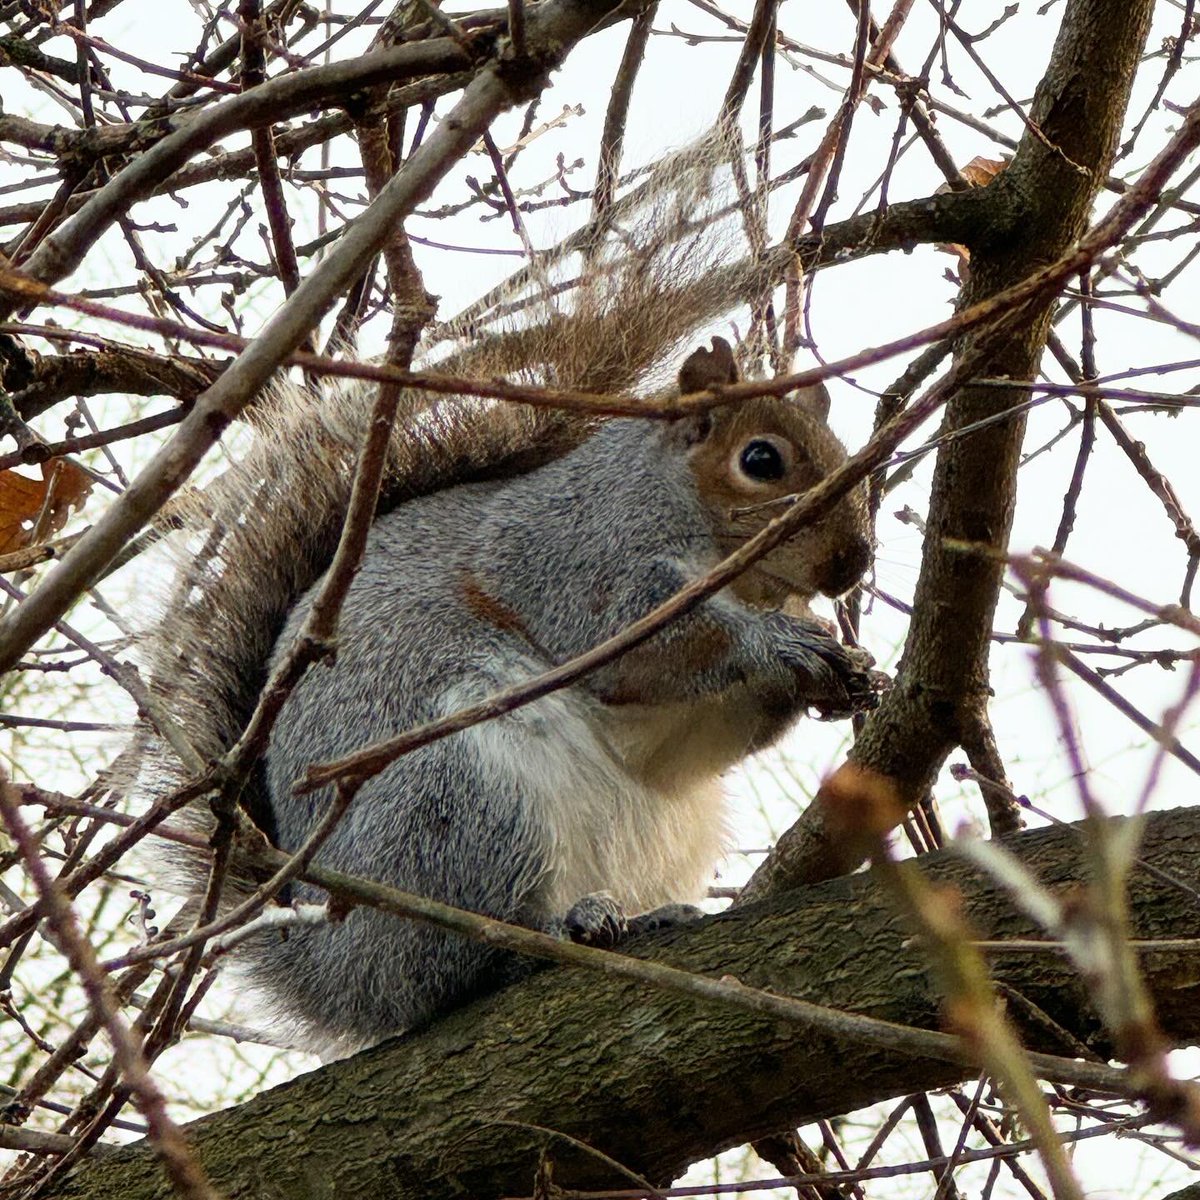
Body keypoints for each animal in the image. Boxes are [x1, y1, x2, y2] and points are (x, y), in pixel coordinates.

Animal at [140, 154, 878, 1056]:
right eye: (761, 460)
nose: (851, 564)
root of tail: (344, 969)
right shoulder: (574, 568)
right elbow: (650, 648)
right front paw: (782, 646)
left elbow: (687, 743)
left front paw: (839, 667)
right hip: (460, 802)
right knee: (457, 962)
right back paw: (551, 934)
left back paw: (644, 918)